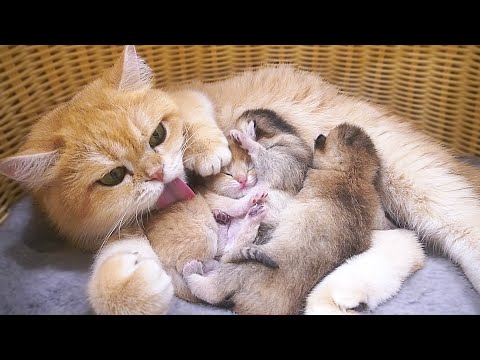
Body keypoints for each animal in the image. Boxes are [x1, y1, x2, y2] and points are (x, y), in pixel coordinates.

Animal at [184, 124, 412, 316]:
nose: (319, 136)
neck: (351, 175)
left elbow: (261, 157)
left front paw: (245, 139)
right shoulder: (375, 209)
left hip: (239, 267)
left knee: (212, 285)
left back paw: (194, 268)